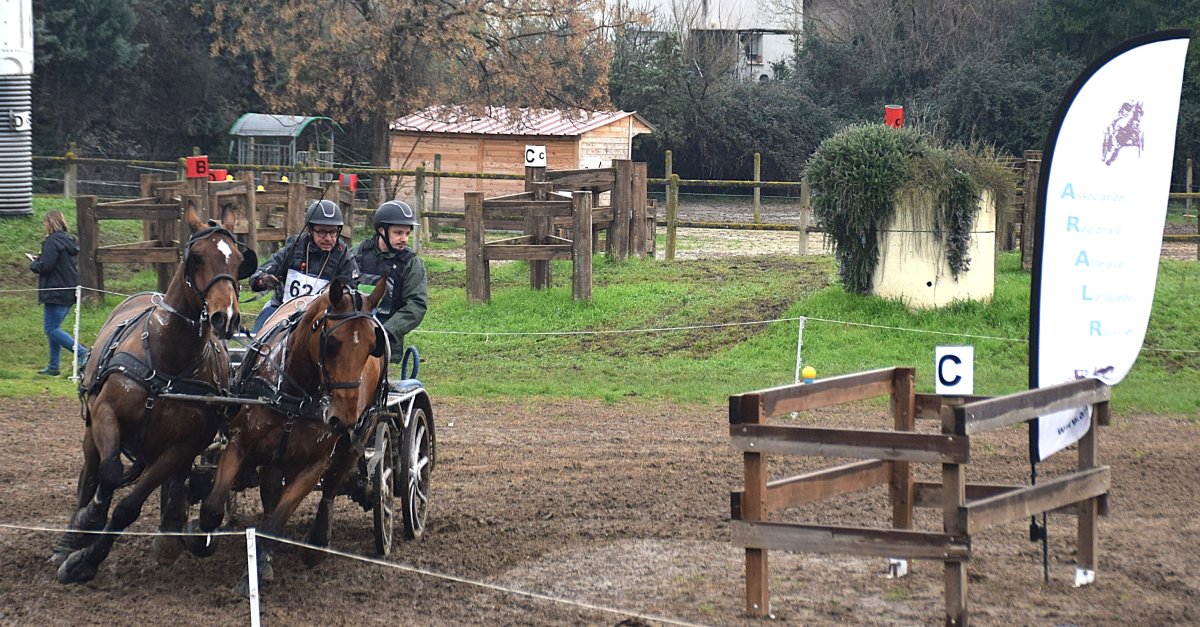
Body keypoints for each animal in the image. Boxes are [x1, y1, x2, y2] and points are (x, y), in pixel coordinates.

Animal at [52, 204, 256, 584]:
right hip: (92, 430)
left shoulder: (180, 448)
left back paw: (168, 534)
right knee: (91, 474)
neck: (167, 361)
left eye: (238, 260)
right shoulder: (107, 414)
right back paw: (71, 535)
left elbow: (127, 508)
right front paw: (88, 523)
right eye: (197, 257)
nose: (226, 317)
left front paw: (87, 560)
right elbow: (111, 472)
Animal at [188, 276, 389, 594]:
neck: (295, 393)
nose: (343, 418)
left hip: (356, 439)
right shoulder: (239, 443)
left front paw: (254, 574)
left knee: (332, 487)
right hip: (277, 456)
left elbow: (276, 522)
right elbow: (212, 506)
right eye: (332, 342)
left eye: (373, 345)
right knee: (271, 491)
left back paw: (316, 543)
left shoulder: (313, 466)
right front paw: (200, 537)